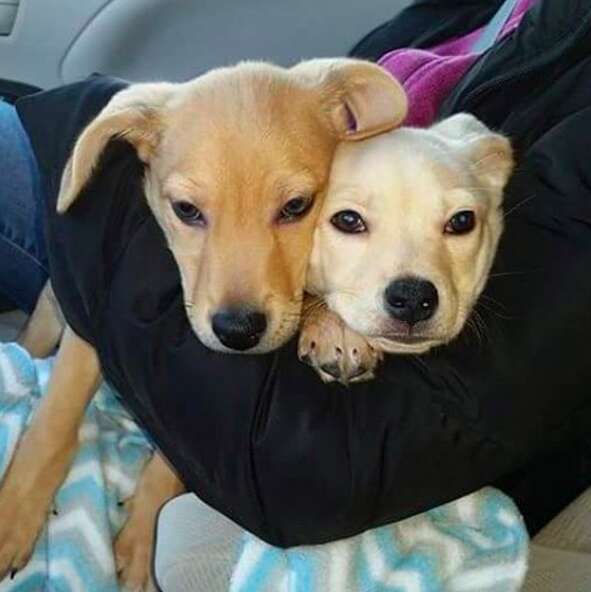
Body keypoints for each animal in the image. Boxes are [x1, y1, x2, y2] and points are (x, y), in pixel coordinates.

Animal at [1, 59, 408, 588]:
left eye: (297, 207)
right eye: (186, 211)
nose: (237, 330)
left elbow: (173, 467)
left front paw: (141, 541)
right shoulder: (91, 321)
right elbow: (53, 424)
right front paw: (15, 514)